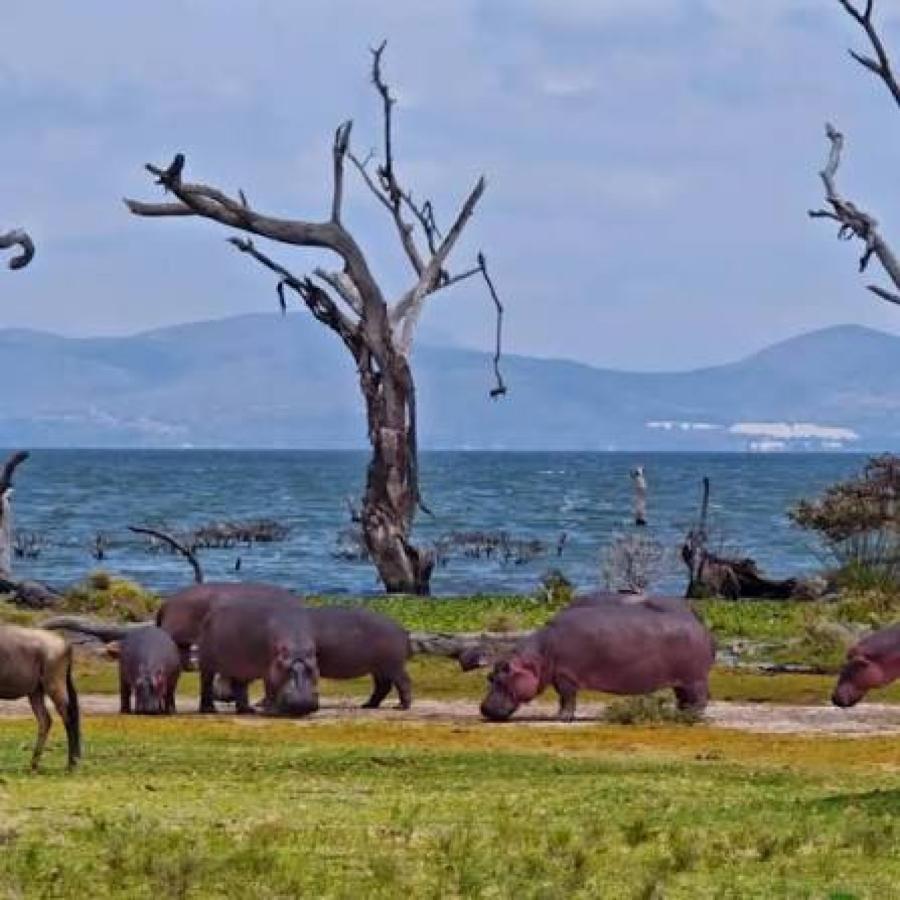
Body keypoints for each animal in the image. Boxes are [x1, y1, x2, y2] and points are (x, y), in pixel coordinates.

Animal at [479, 596, 715, 722]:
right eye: (489, 677)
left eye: (503, 676)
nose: (483, 709)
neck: (537, 657)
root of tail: (697, 620)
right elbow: (564, 698)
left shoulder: (565, 676)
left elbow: (566, 698)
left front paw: (561, 718)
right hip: (682, 681)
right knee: (684, 698)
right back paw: (680, 714)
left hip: (695, 679)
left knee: (700, 699)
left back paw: (691, 717)